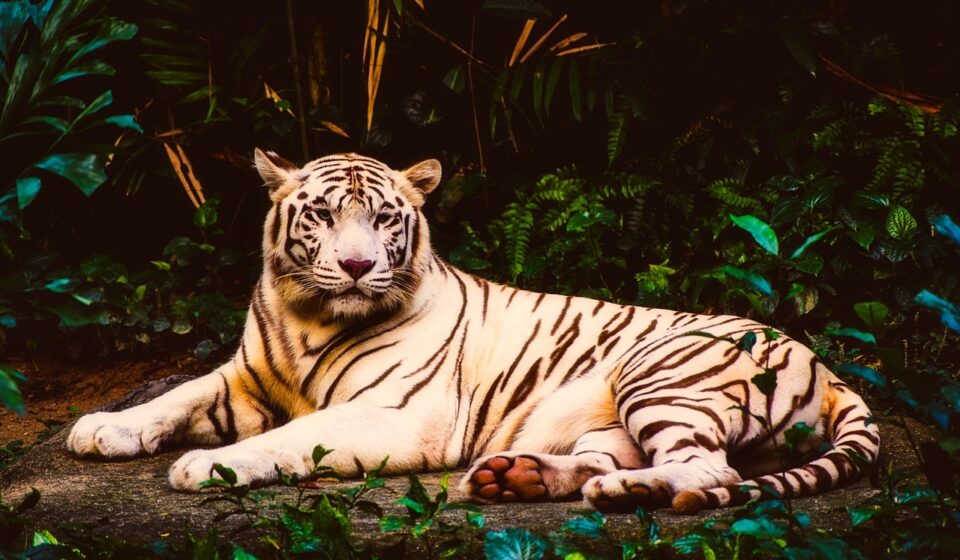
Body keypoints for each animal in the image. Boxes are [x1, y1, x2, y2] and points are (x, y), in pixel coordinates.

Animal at [66, 150, 879, 514]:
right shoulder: (244, 376)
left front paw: (208, 466)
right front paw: (102, 428)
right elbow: (175, 394)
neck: (308, 316)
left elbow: (291, 437)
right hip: (610, 417)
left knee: (712, 471)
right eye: (323, 215)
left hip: (661, 374)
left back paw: (630, 491)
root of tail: (829, 368)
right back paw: (515, 476)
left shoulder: (397, 414)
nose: (357, 266)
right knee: (612, 458)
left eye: (384, 219)